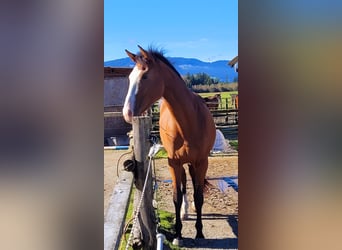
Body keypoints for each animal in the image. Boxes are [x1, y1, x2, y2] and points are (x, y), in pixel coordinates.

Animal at [121, 45, 215, 244]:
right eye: (130, 78)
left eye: (145, 77)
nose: (127, 113)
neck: (190, 121)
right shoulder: (173, 162)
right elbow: (176, 197)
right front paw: (178, 234)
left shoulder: (202, 162)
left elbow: (199, 196)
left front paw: (200, 232)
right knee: (184, 184)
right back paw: (185, 212)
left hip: (193, 163)